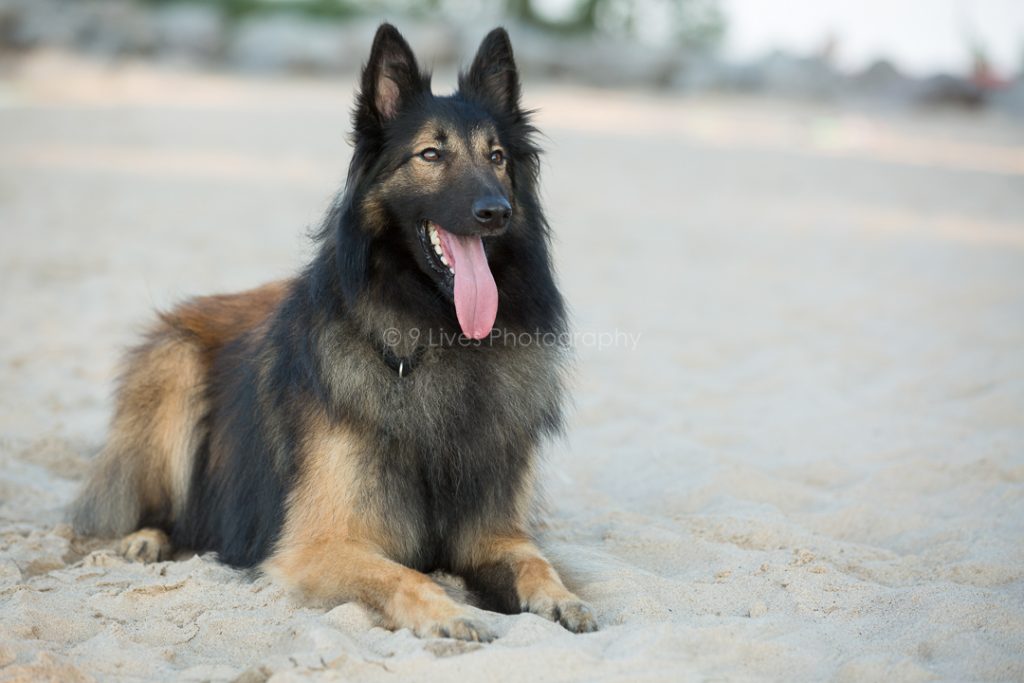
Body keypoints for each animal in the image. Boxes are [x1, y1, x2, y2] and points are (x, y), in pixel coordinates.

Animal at [68, 22, 598, 643]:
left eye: (497, 157)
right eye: (431, 154)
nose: (496, 211)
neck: (437, 334)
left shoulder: (490, 533)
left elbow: (534, 561)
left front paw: (561, 599)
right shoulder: (318, 546)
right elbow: (405, 576)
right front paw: (451, 613)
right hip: (173, 370)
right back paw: (145, 538)